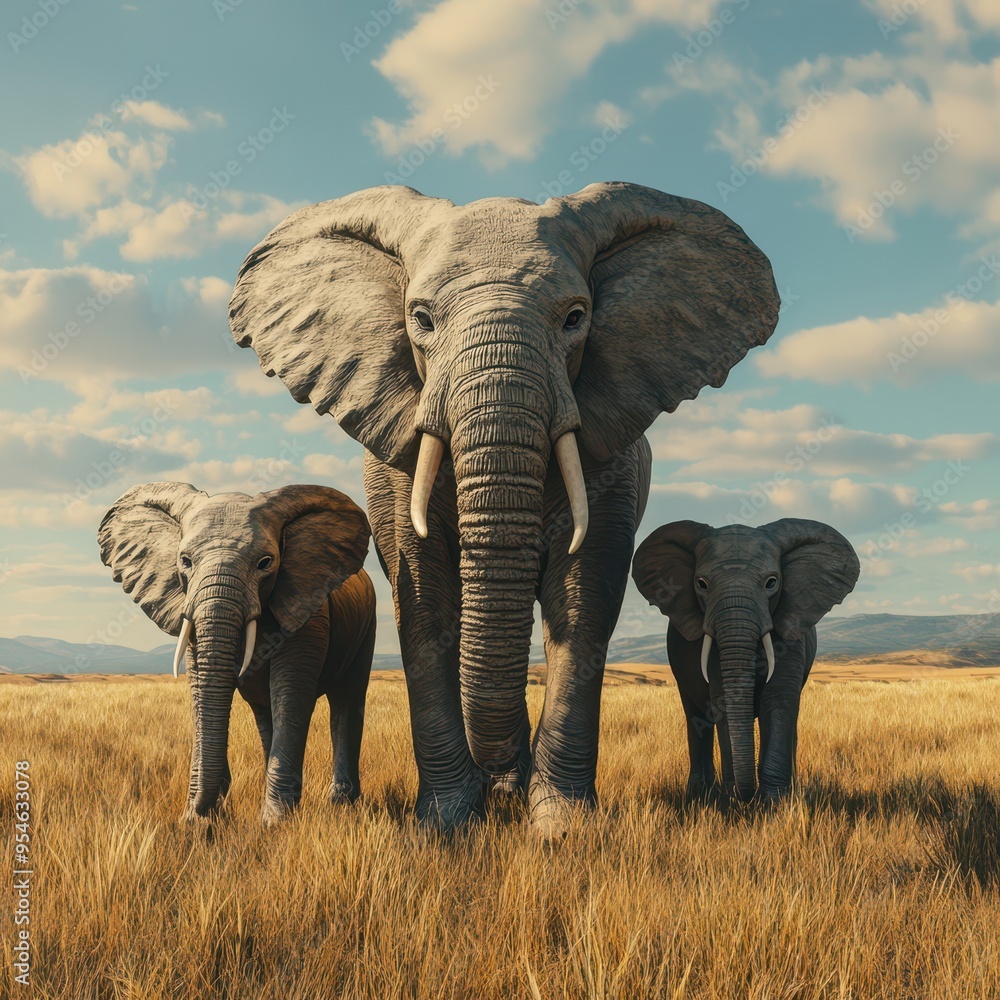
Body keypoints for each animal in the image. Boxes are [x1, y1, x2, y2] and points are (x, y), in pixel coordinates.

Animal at [98, 482, 376, 826]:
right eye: (184, 560)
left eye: (265, 562)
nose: (200, 815)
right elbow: (202, 688)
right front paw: (201, 820)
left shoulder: (307, 608)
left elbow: (290, 693)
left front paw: (273, 824)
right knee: (265, 712)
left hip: (367, 625)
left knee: (346, 700)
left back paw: (341, 804)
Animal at [228, 181, 780, 835]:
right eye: (421, 319)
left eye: (575, 318)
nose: (497, 781)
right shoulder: (393, 465)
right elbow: (425, 603)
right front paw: (446, 822)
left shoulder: (612, 459)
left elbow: (583, 599)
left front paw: (561, 826)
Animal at [632, 518, 860, 803]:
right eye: (701, 583)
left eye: (772, 582)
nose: (747, 796)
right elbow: (721, 700)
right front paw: (734, 801)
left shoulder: (790, 631)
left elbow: (777, 701)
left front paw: (775, 803)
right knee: (696, 718)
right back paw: (700, 794)